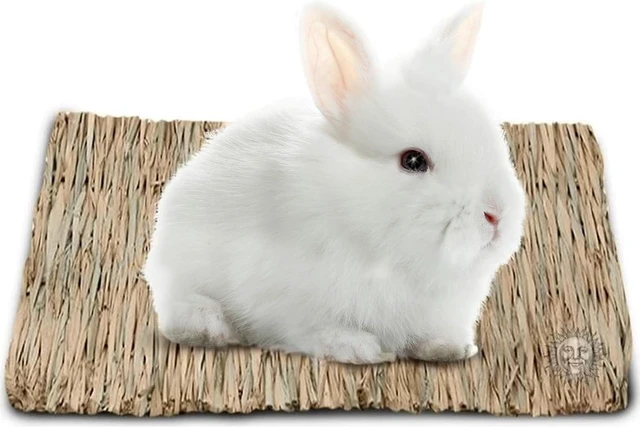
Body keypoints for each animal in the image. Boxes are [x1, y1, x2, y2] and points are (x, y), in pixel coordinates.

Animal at [143, 1, 527, 365]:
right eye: (413, 161)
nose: (496, 214)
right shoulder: (288, 301)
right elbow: (317, 330)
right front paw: (357, 348)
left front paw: (449, 348)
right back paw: (207, 325)